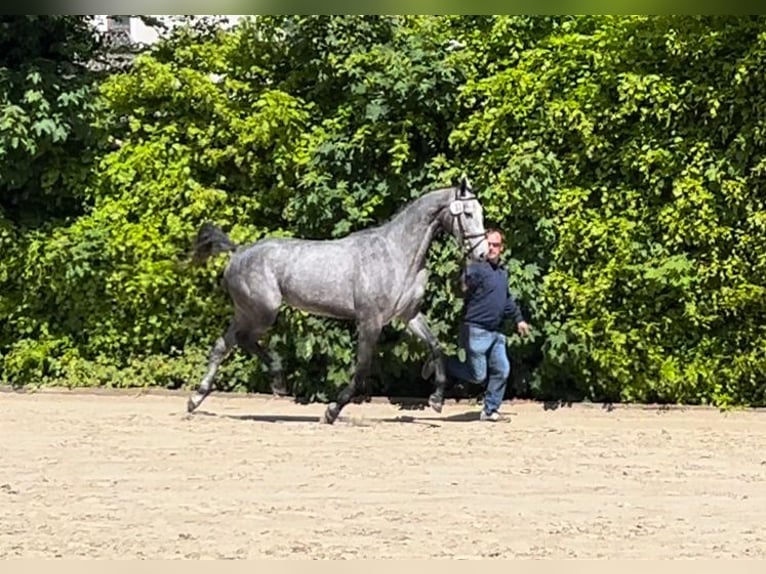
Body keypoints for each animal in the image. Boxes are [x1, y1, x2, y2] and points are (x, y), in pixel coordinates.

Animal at [186, 178, 488, 426]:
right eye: (468, 213)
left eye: (481, 213)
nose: (483, 253)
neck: (396, 254)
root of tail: (238, 252)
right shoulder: (370, 321)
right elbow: (362, 369)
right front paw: (331, 411)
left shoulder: (408, 316)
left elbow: (436, 347)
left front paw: (436, 400)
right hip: (262, 312)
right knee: (243, 340)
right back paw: (278, 380)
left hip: (246, 312)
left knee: (221, 346)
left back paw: (196, 399)